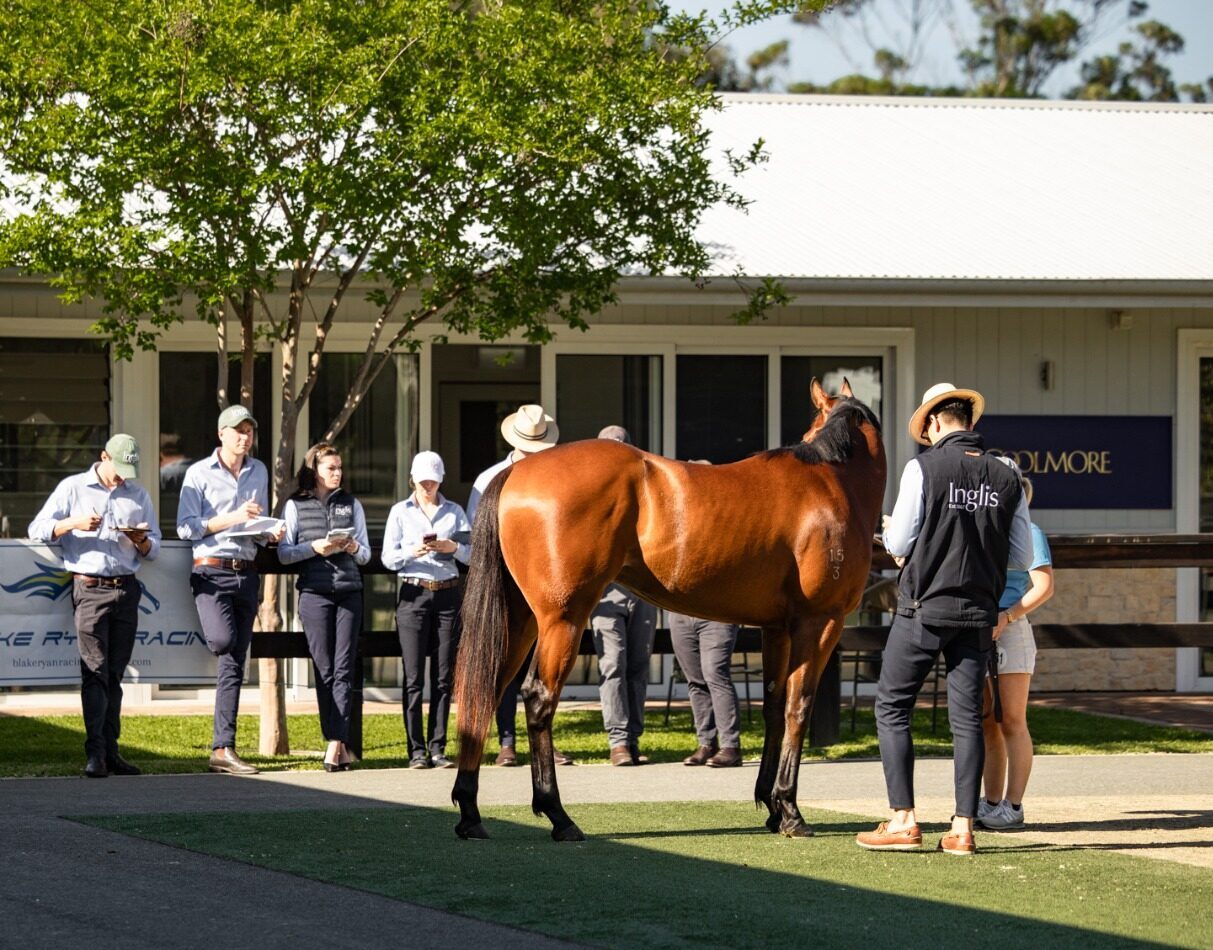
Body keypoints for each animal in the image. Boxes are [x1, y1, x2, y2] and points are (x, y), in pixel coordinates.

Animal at [452, 378, 886, 842]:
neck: (832, 481)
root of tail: (517, 471)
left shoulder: (777, 628)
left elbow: (773, 705)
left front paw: (771, 806)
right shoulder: (818, 622)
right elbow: (797, 707)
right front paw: (789, 810)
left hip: (521, 619)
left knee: (486, 690)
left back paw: (470, 813)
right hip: (562, 618)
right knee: (538, 698)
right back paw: (557, 814)